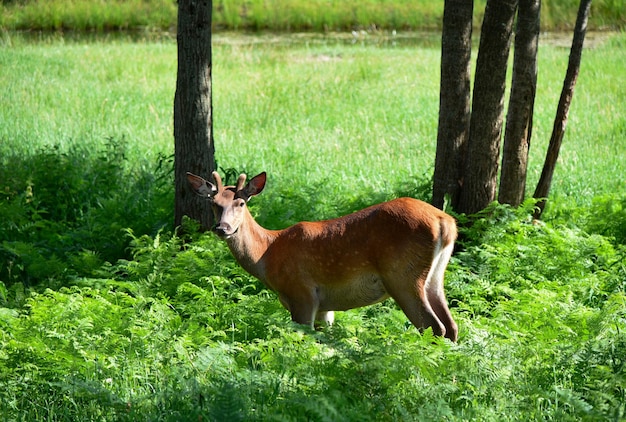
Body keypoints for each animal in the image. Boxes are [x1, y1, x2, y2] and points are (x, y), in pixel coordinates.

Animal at [186, 170, 458, 342]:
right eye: (214, 203)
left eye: (241, 203)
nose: (222, 228)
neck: (267, 253)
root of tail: (445, 222)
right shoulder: (325, 307)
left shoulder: (302, 294)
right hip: (434, 276)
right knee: (451, 325)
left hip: (403, 275)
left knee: (434, 327)